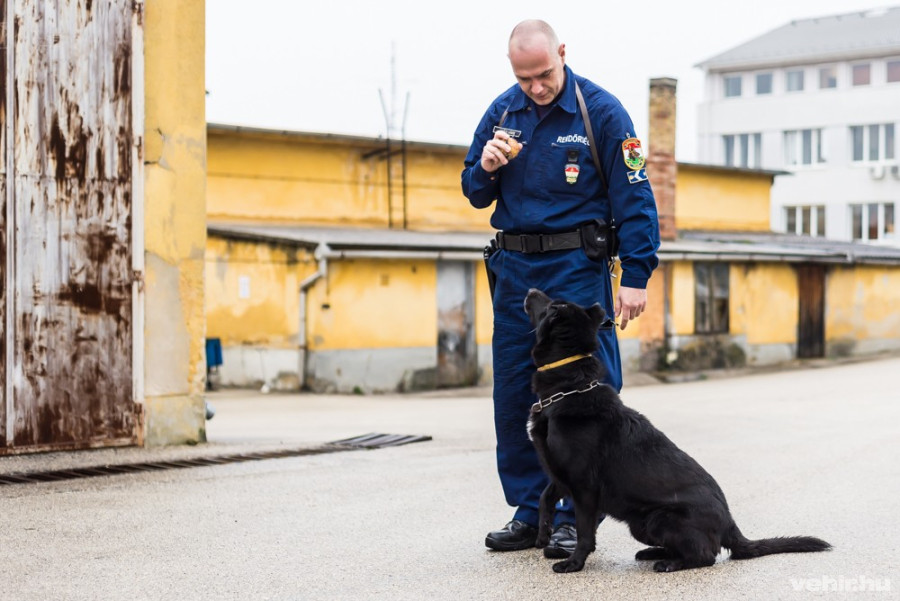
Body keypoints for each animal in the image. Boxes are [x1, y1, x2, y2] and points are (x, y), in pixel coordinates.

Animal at [523, 288, 831, 573]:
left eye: (551, 306)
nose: (530, 291)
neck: (569, 388)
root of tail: (730, 523)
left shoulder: (584, 488)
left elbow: (585, 532)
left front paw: (573, 563)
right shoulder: (560, 474)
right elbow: (544, 497)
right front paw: (543, 533)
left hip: (658, 519)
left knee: (706, 555)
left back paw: (670, 563)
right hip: (641, 524)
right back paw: (655, 553)